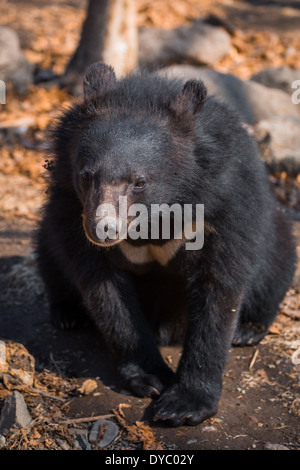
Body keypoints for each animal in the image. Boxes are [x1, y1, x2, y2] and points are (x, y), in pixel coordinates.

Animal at [35, 62, 296, 426]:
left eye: (140, 182)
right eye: (86, 175)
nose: (102, 230)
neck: (160, 213)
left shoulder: (225, 203)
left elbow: (219, 287)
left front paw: (183, 404)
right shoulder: (70, 207)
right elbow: (105, 290)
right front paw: (151, 378)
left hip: (276, 235)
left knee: (276, 265)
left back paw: (248, 329)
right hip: (48, 231)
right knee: (50, 257)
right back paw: (69, 313)